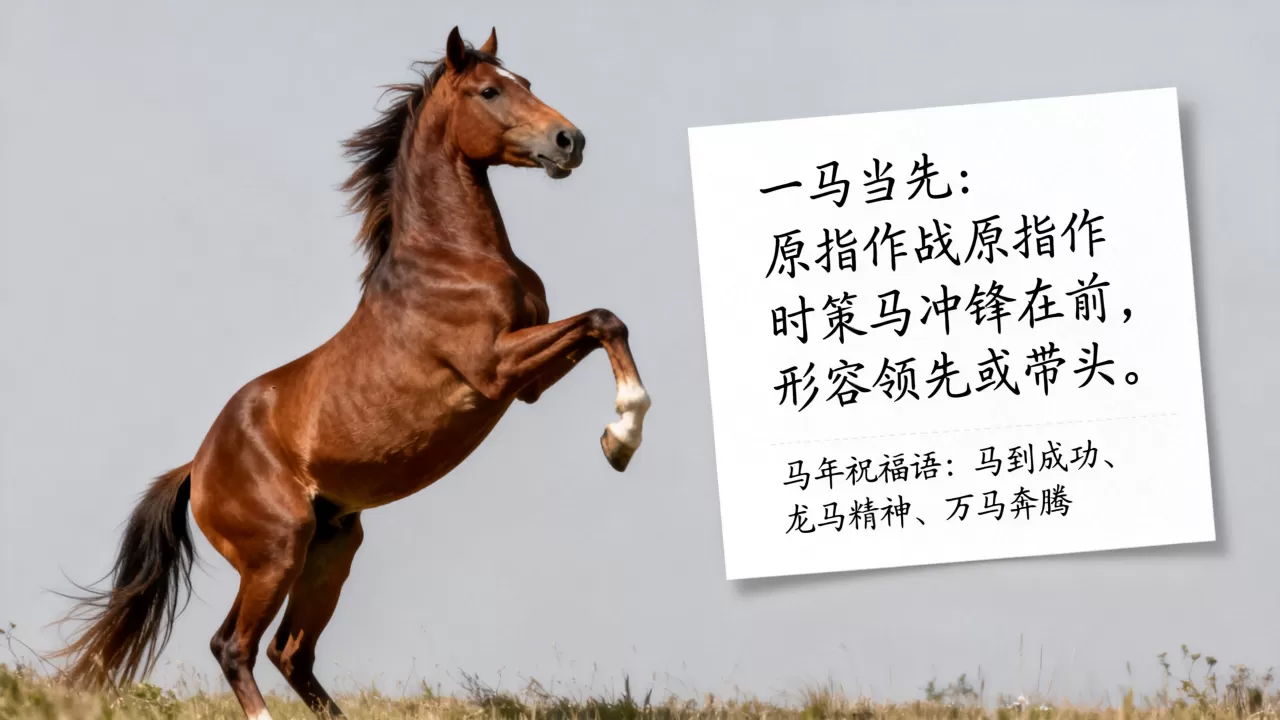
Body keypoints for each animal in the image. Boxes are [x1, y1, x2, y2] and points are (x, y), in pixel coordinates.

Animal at [52, 26, 650, 720]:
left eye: (525, 81)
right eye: (489, 91)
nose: (568, 141)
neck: (453, 256)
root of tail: (196, 468)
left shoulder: (523, 385)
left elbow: (605, 325)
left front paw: (616, 438)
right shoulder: (495, 368)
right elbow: (603, 319)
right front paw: (622, 439)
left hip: (332, 547)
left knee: (290, 651)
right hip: (276, 550)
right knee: (234, 646)